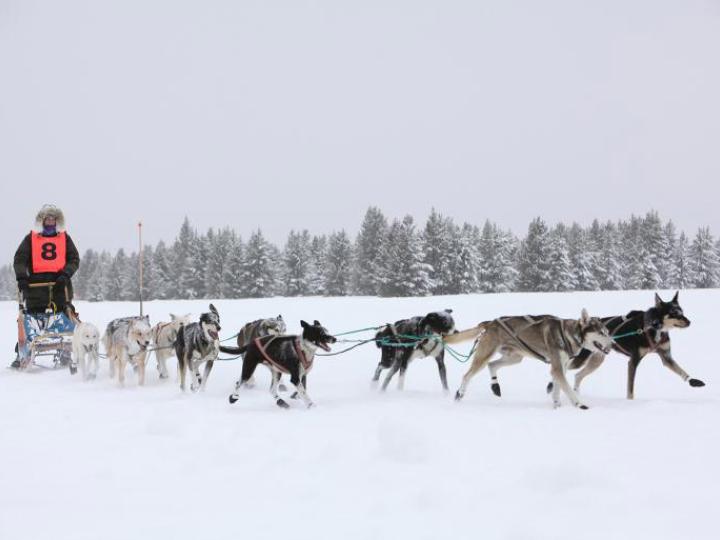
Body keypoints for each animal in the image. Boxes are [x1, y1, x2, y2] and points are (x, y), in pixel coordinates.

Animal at [448, 310, 612, 408]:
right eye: (601, 333)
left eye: (607, 332)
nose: (612, 343)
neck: (568, 334)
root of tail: (490, 322)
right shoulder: (557, 368)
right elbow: (567, 388)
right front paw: (579, 404)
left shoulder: (561, 367)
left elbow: (557, 388)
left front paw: (557, 405)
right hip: (485, 356)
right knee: (467, 375)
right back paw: (459, 394)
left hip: (515, 358)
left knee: (492, 365)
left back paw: (495, 386)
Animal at [552, 294, 704, 398]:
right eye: (674, 313)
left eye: (682, 312)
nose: (689, 322)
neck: (653, 327)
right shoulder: (633, 361)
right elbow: (630, 389)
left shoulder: (666, 356)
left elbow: (681, 370)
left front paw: (693, 381)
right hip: (582, 358)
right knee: (567, 369)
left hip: (597, 360)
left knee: (578, 375)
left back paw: (576, 393)